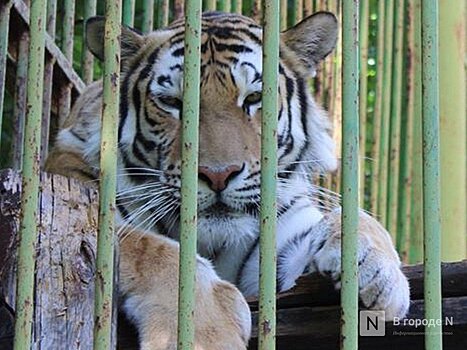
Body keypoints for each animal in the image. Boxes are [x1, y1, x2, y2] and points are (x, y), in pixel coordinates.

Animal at [46, 10, 410, 350]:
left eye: (254, 99)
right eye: (172, 103)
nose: (218, 175)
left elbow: (355, 218)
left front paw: (378, 273)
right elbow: (151, 247)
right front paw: (204, 333)